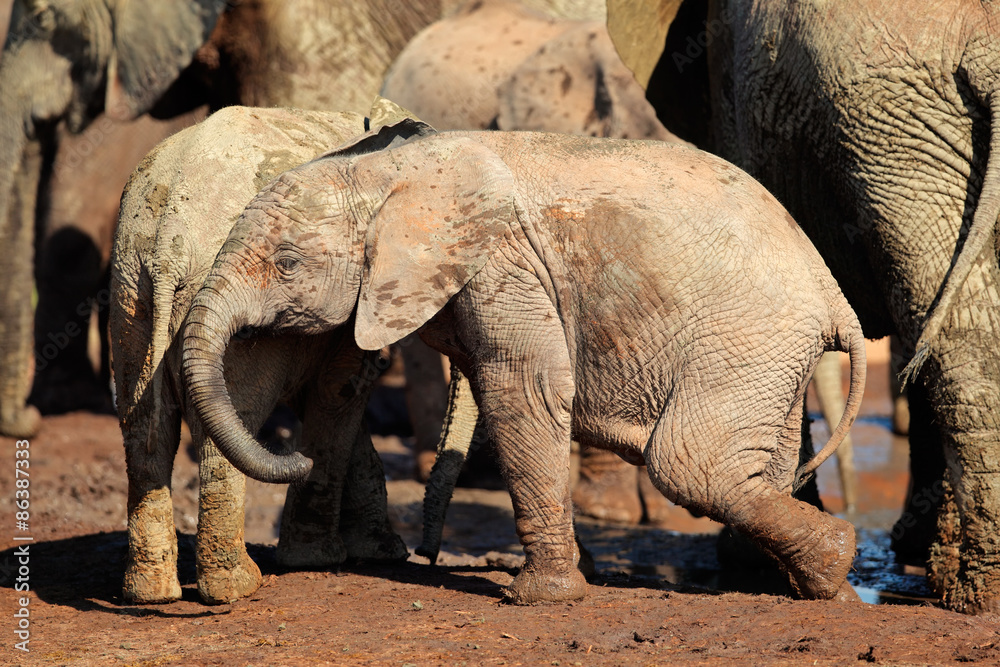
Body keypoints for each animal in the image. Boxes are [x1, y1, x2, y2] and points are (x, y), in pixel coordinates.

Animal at [109, 100, 414, 604]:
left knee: (144, 432)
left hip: (127, 291)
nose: (297, 460)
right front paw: (323, 558)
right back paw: (237, 587)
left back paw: (152, 593)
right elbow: (342, 391)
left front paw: (379, 552)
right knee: (224, 428)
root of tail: (169, 239)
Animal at [181, 120, 867, 604]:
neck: (386, 170)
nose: (294, 459)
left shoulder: (505, 263)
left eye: (287, 262)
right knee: (758, 467)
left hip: (746, 335)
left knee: (688, 465)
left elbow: (523, 390)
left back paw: (832, 567)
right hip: (769, 354)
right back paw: (818, 586)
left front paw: (539, 598)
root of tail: (834, 294)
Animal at [606, 0, 1000, 614]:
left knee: (955, 338)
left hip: (886, 123)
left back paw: (970, 591)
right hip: (903, 128)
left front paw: (749, 564)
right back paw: (968, 586)